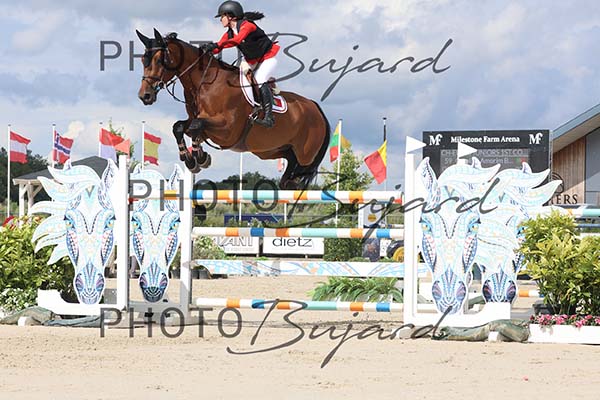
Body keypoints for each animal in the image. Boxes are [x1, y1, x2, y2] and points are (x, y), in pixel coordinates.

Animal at [136, 28, 330, 189]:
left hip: (305, 156)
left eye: (159, 60)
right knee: (289, 170)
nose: (145, 96)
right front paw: (191, 159)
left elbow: (196, 126)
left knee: (299, 175)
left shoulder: (228, 129)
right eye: (143, 60)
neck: (205, 83)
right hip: (272, 151)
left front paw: (200, 158)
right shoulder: (199, 123)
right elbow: (179, 126)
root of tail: (315, 107)